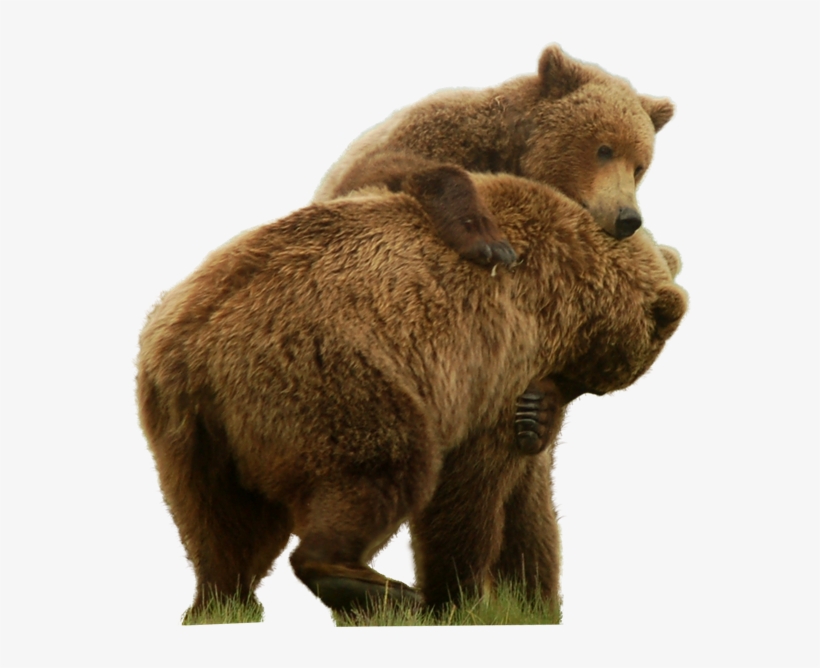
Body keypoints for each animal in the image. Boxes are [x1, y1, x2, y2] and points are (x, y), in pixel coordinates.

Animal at [137, 170, 687, 618]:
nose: (540, 409)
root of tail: (194, 341)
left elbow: (528, 502)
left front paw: (532, 598)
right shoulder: (494, 359)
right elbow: (468, 489)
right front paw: (460, 597)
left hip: (189, 431)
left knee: (220, 525)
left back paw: (221, 602)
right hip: (327, 374)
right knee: (384, 465)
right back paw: (373, 587)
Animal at [315, 44, 675, 457]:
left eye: (640, 165)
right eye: (604, 148)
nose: (627, 217)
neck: (515, 151)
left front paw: (539, 412)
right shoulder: (430, 137)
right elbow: (388, 171)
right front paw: (488, 239)